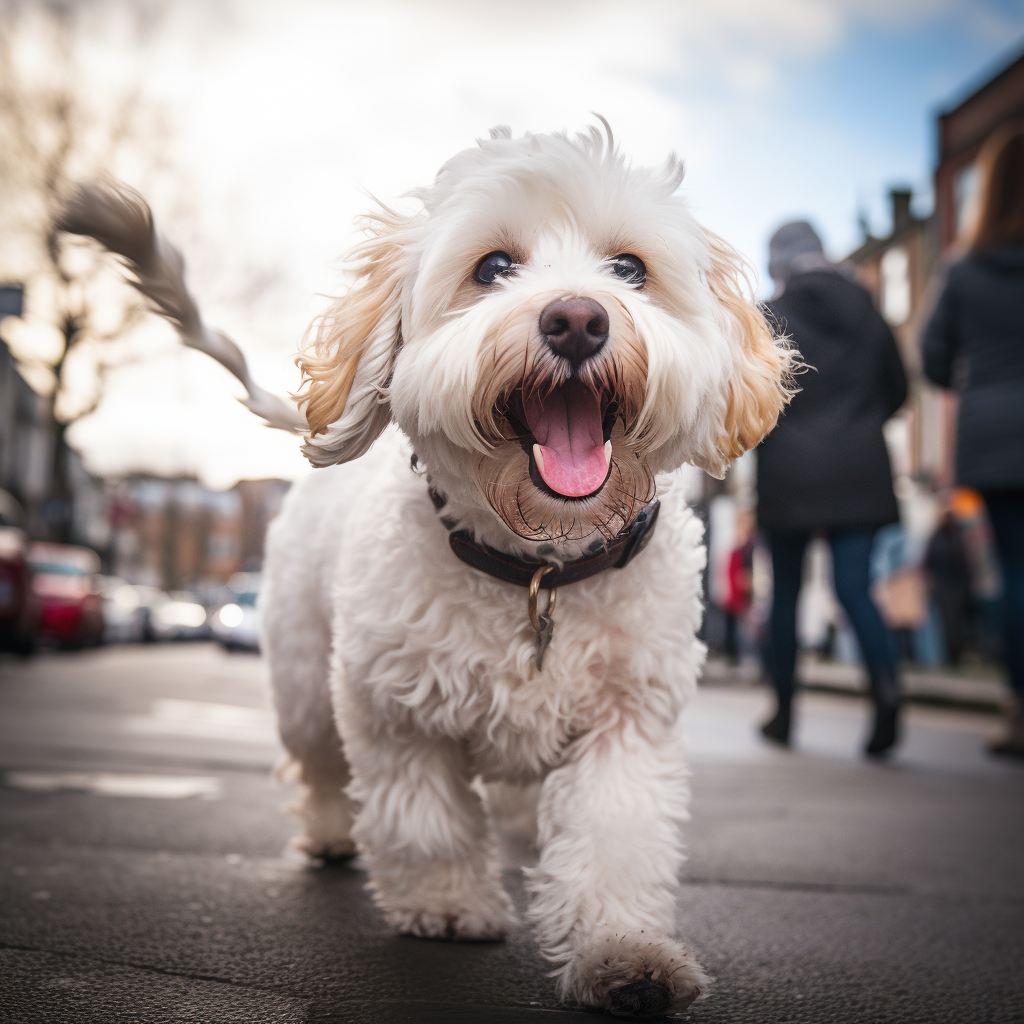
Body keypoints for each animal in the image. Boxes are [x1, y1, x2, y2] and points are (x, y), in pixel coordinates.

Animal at [61, 123, 790, 1019]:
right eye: (493, 267)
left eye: (629, 269)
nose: (577, 319)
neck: (537, 570)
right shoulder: (394, 709)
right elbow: (425, 819)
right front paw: (446, 905)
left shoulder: (627, 722)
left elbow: (613, 840)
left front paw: (624, 955)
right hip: (303, 684)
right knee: (318, 766)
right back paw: (330, 833)